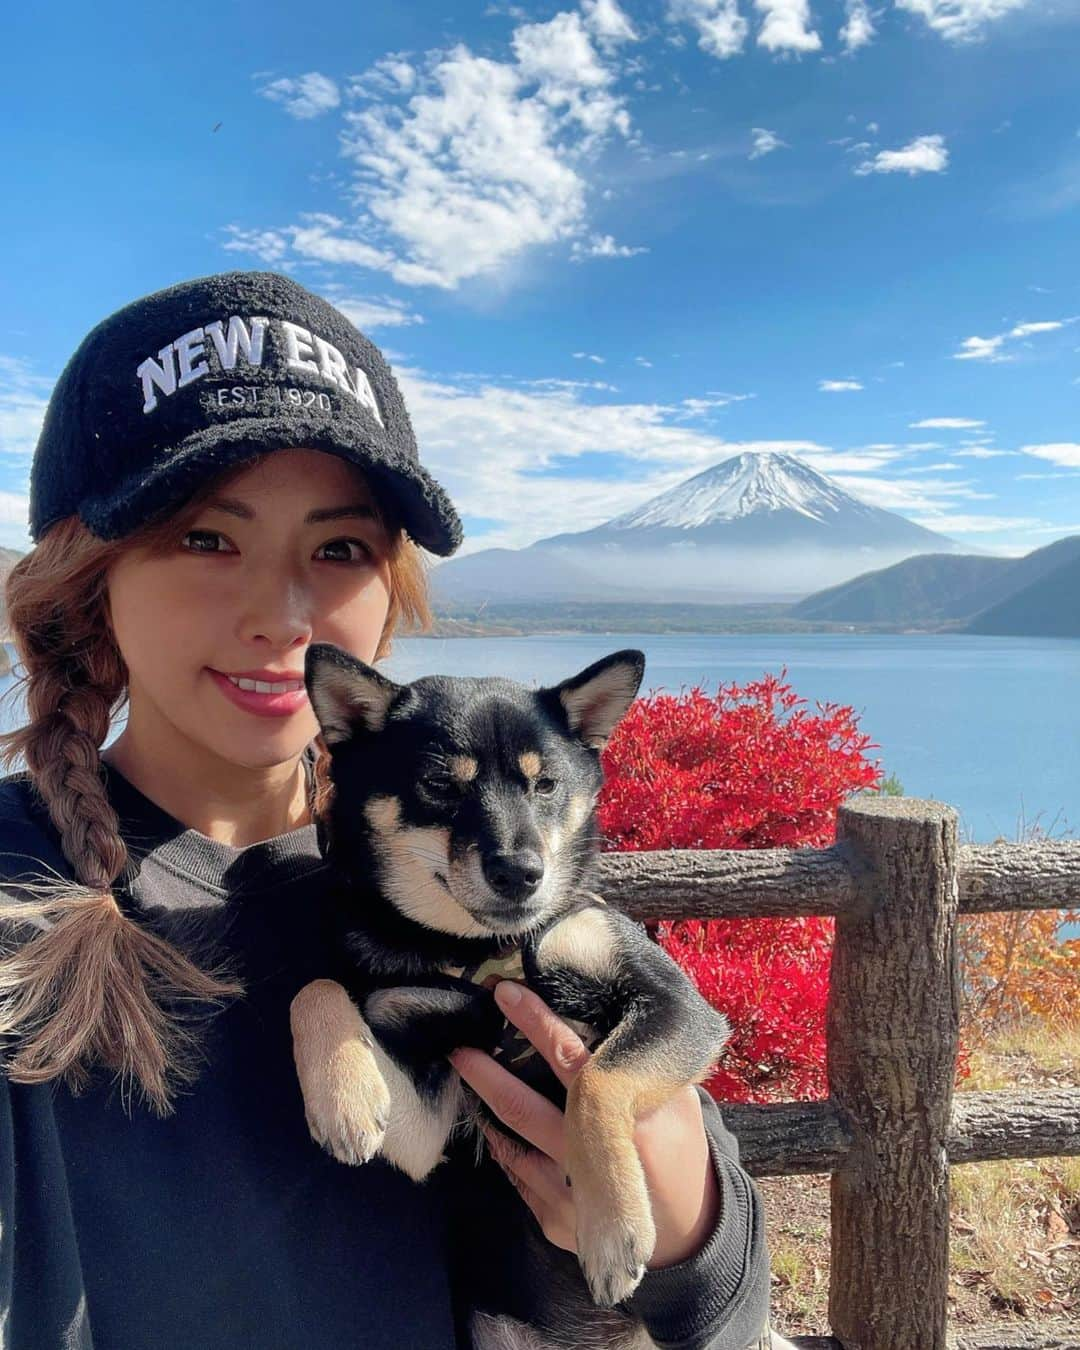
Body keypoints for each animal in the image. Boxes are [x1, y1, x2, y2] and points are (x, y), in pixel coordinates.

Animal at [292, 648, 734, 1344]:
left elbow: (596, 1079)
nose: (521, 872)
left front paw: (611, 1228)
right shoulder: (432, 1100)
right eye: (440, 785)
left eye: (546, 785)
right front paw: (345, 1098)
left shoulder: (676, 1005)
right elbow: (316, 985)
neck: (489, 950)